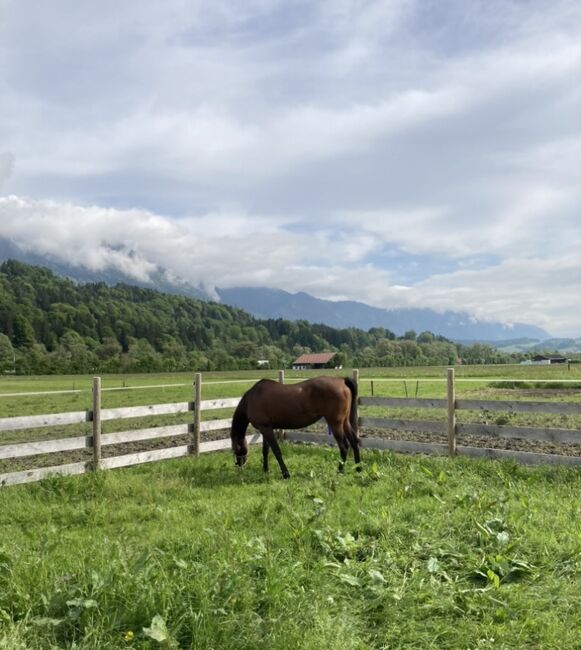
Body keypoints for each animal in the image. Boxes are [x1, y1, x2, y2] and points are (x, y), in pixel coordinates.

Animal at [230, 374, 358, 476]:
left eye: (235, 450)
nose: (238, 465)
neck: (251, 399)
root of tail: (342, 380)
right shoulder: (265, 428)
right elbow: (265, 451)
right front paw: (265, 470)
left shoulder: (266, 429)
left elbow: (276, 451)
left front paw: (285, 474)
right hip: (344, 422)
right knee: (354, 441)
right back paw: (358, 469)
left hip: (336, 423)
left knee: (344, 446)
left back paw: (340, 471)